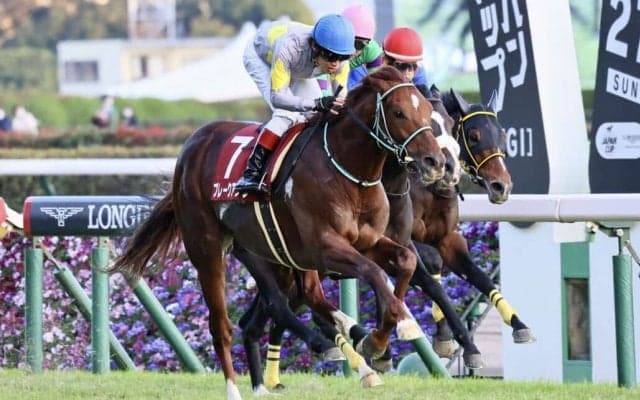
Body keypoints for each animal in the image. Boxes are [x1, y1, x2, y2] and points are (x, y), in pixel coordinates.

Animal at [111, 66, 445, 400]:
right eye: (399, 112)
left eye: (426, 111)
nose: (436, 162)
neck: (349, 173)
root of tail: (191, 147)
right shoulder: (325, 246)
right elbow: (374, 272)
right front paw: (391, 331)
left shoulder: (366, 242)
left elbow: (405, 261)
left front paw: (383, 336)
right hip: (209, 249)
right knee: (229, 322)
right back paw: (240, 387)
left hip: (277, 253)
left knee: (305, 297)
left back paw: (348, 343)